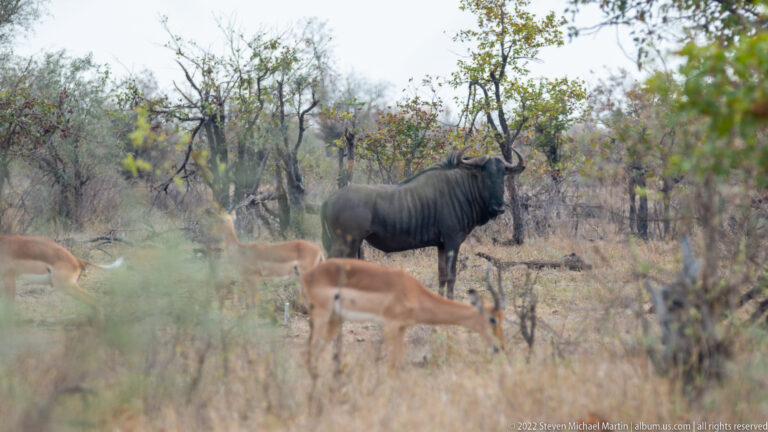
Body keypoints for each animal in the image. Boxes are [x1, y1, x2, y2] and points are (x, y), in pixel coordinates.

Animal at [301, 258, 506, 373]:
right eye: (492, 319)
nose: (500, 347)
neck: (414, 292)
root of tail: (308, 274)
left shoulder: (402, 328)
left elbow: (399, 364)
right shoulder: (391, 325)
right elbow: (392, 366)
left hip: (334, 319)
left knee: (318, 351)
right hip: (321, 315)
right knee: (309, 350)